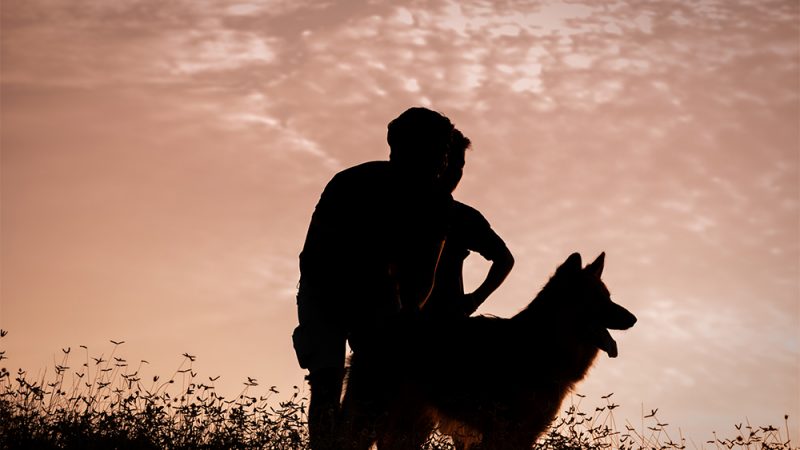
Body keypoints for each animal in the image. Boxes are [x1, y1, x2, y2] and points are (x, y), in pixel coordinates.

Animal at [342, 253, 636, 450]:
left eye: (609, 297)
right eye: (598, 299)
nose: (633, 319)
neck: (542, 343)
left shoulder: (524, 434)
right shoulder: (503, 431)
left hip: (409, 424)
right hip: (372, 414)